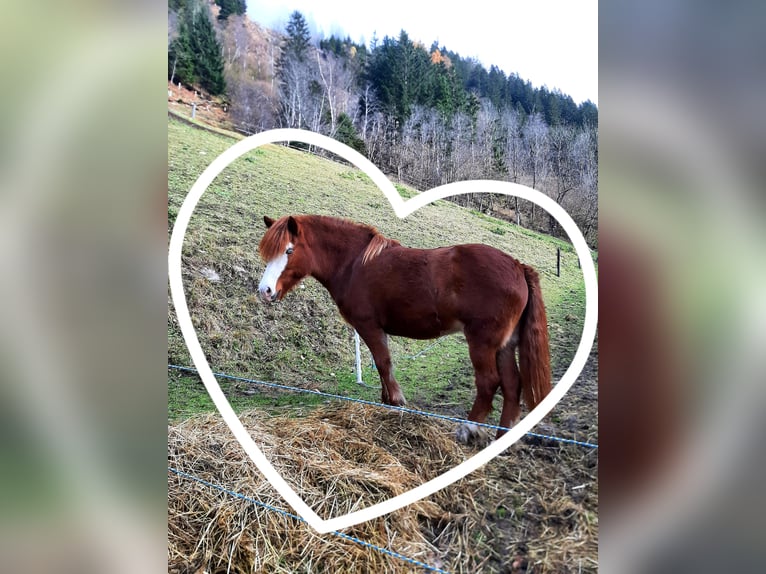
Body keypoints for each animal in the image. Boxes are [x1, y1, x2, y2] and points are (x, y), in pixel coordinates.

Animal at [258, 214, 552, 444]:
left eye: (289, 251)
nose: (265, 291)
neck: (354, 264)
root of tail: (518, 267)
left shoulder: (369, 326)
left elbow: (383, 363)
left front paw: (395, 402)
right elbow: (382, 365)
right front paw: (386, 401)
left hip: (482, 342)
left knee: (489, 382)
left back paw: (469, 429)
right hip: (504, 345)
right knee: (513, 385)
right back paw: (502, 438)